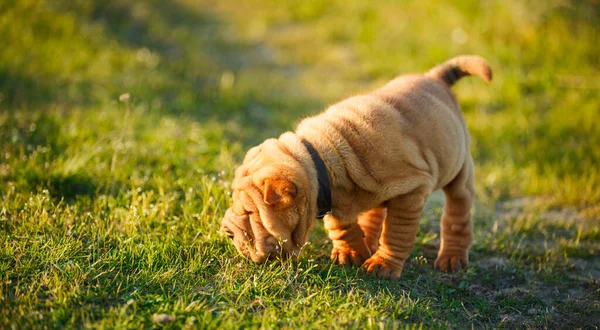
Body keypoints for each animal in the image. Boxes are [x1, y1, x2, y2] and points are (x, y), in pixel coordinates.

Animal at [220, 55, 492, 280]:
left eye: (250, 212)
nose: (226, 230)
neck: (328, 157)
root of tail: (434, 77)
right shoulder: (330, 199)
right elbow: (340, 226)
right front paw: (351, 252)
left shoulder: (411, 192)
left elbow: (396, 232)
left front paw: (383, 265)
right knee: (374, 213)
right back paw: (368, 241)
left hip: (460, 171)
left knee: (457, 211)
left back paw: (452, 258)